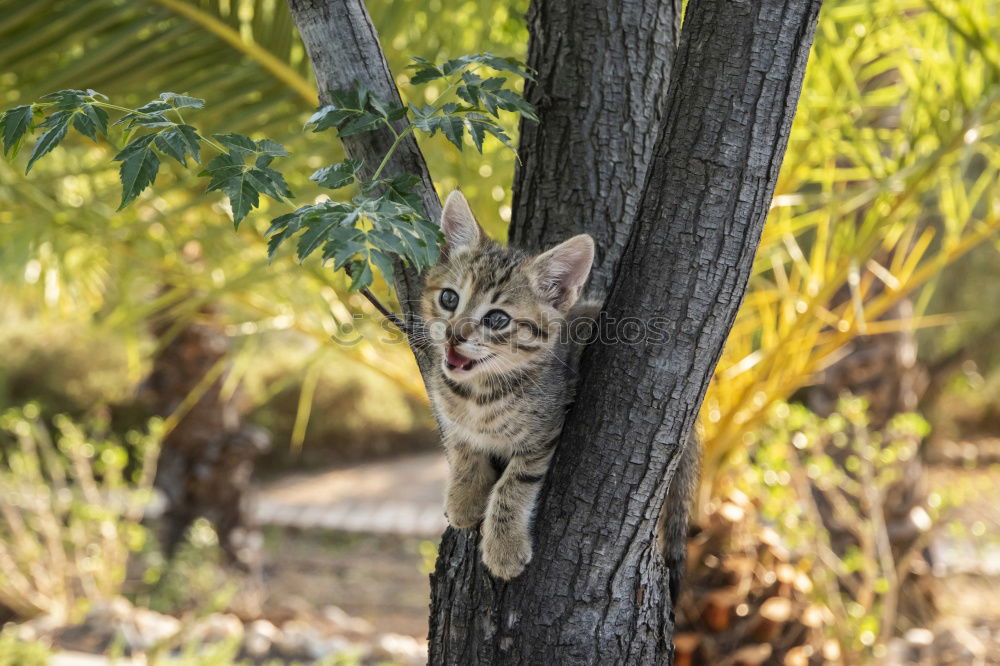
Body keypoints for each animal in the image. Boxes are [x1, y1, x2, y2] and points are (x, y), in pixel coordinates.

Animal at [420, 189, 596, 580]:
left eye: (497, 319)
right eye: (449, 298)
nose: (453, 335)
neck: (477, 393)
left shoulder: (546, 432)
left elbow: (514, 484)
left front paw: (504, 546)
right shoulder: (450, 412)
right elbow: (464, 447)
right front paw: (465, 497)